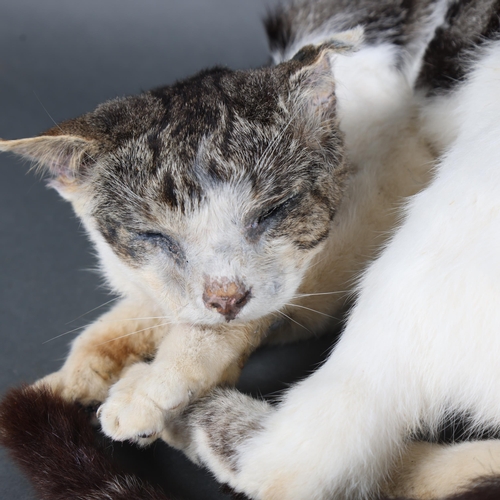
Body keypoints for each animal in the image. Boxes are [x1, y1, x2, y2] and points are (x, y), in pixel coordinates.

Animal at [0, 0, 500, 498]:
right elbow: (158, 306)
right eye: (155, 237)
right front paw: (75, 373)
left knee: (299, 458)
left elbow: (253, 311)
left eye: (272, 211)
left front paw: (155, 382)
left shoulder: (393, 179)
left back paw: (187, 419)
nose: (226, 298)